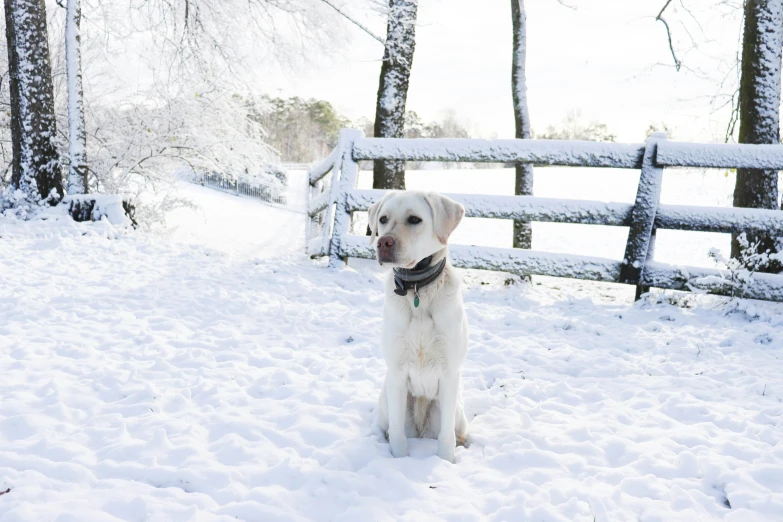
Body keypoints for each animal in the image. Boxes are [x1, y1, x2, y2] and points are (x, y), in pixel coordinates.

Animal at [370, 190, 468, 460]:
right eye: (383, 219)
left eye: (414, 219)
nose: (383, 242)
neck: (417, 288)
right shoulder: (396, 373)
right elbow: (397, 437)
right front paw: (399, 459)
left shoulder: (449, 373)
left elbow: (446, 437)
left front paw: (446, 461)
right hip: (386, 403)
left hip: (457, 412)